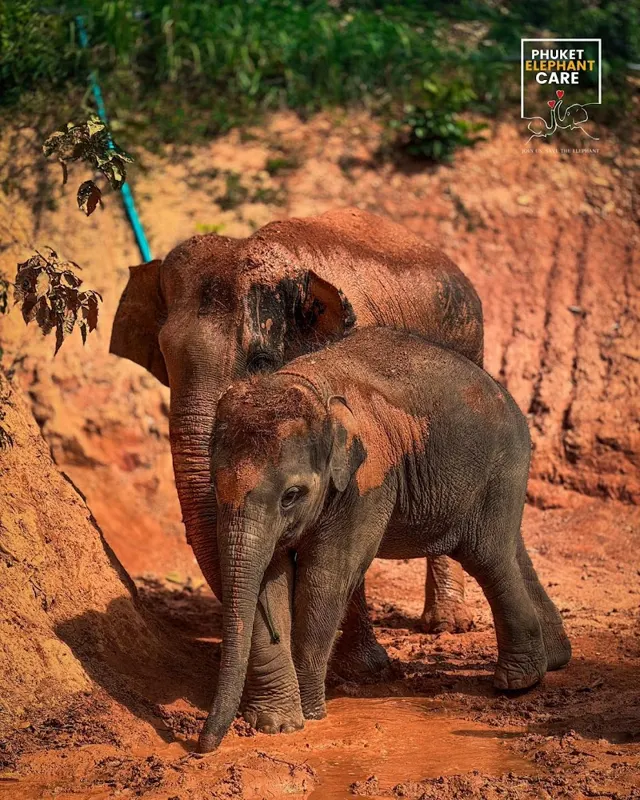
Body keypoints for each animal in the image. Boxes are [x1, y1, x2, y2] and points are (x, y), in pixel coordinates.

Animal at [200, 327, 571, 752]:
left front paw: (311, 713)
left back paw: (517, 683)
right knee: (511, 549)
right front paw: (276, 724)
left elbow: (325, 578)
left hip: (499, 469)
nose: (202, 745)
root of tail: (505, 394)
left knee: (488, 556)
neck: (310, 386)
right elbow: (270, 580)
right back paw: (554, 658)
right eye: (214, 486)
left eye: (291, 495)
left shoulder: (367, 481)